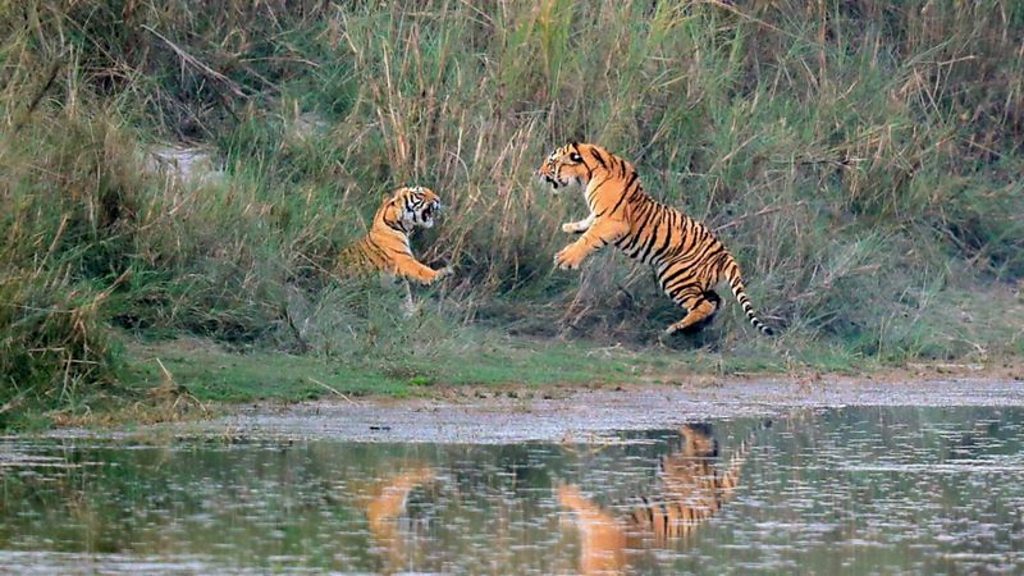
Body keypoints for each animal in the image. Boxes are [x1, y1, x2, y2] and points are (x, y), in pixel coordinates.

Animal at [540, 140, 770, 334]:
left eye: (551, 162)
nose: (539, 173)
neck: (589, 174)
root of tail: (725, 253)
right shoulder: (600, 217)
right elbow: (587, 224)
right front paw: (570, 227)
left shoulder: (613, 221)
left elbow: (589, 238)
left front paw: (565, 259)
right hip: (696, 282)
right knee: (716, 301)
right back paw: (698, 326)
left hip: (675, 276)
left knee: (704, 305)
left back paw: (675, 329)